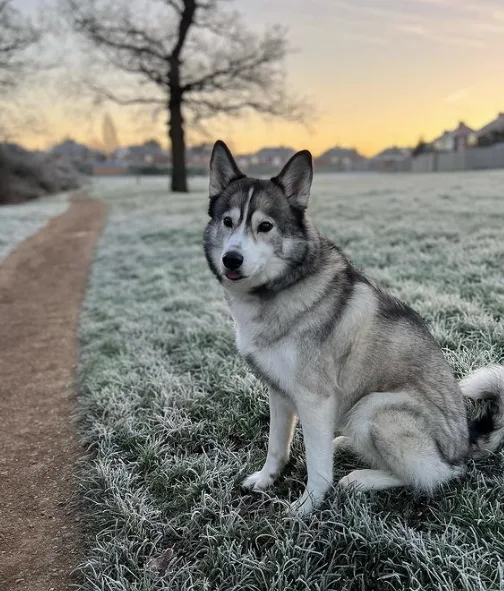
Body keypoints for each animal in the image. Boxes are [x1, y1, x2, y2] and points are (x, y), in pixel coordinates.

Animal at [203, 141, 502, 516]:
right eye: (228, 221)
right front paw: (266, 479)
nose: (231, 258)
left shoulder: (315, 398)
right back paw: (345, 444)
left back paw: (361, 479)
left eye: (265, 226)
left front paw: (307, 507)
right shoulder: (279, 391)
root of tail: (465, 442)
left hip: (373, 408)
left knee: (437, 475)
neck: (281, 288)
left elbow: (317, 465)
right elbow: (276, 446)